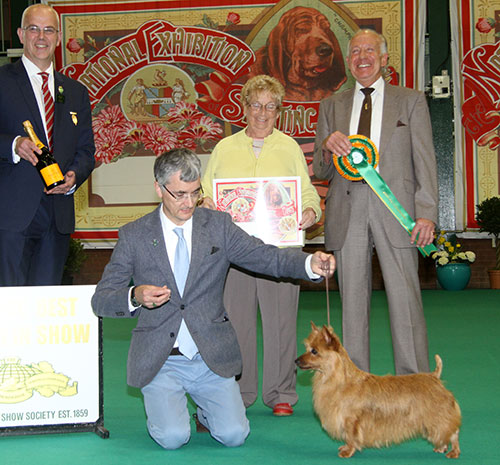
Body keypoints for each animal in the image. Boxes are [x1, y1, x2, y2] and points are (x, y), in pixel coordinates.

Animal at [294, 322, 462, 456]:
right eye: (307, 348)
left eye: (314, 351)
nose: (296, 360)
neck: (339, 380)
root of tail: (435, 377)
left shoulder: (350, 420)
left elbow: (351, 436)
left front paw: (348, 451)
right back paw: (441, 448)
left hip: (437, 415)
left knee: (452, 432)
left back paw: (453, 452)